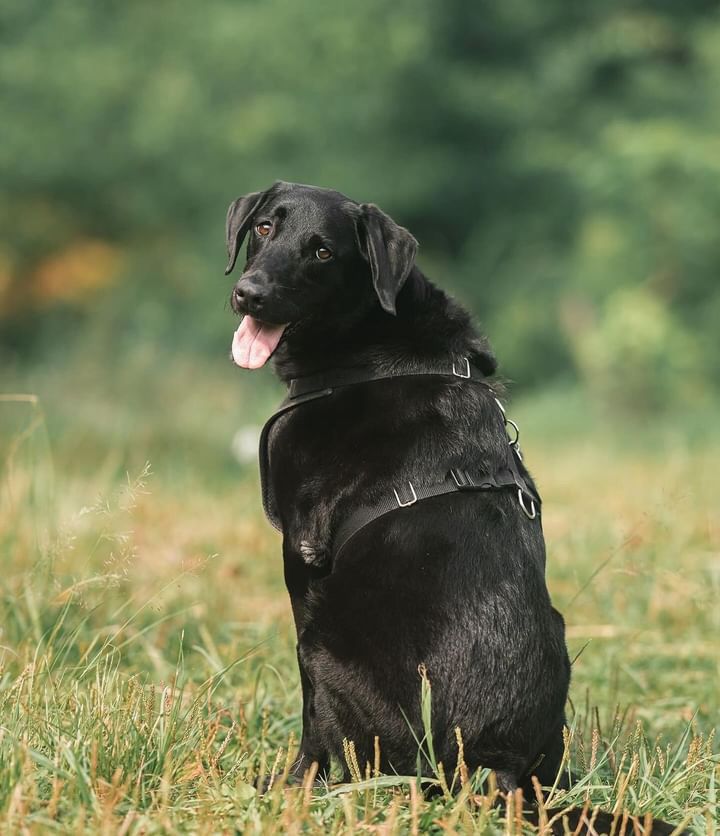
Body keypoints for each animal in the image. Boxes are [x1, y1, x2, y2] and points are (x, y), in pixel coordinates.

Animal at [225, 183, 680, 836]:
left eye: (321, 251)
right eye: (264, 228)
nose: (250, 293)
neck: (369, 351)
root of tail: (494, 769)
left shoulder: (302, 557)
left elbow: (310, 724)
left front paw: (291, 787)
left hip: (322, 648)